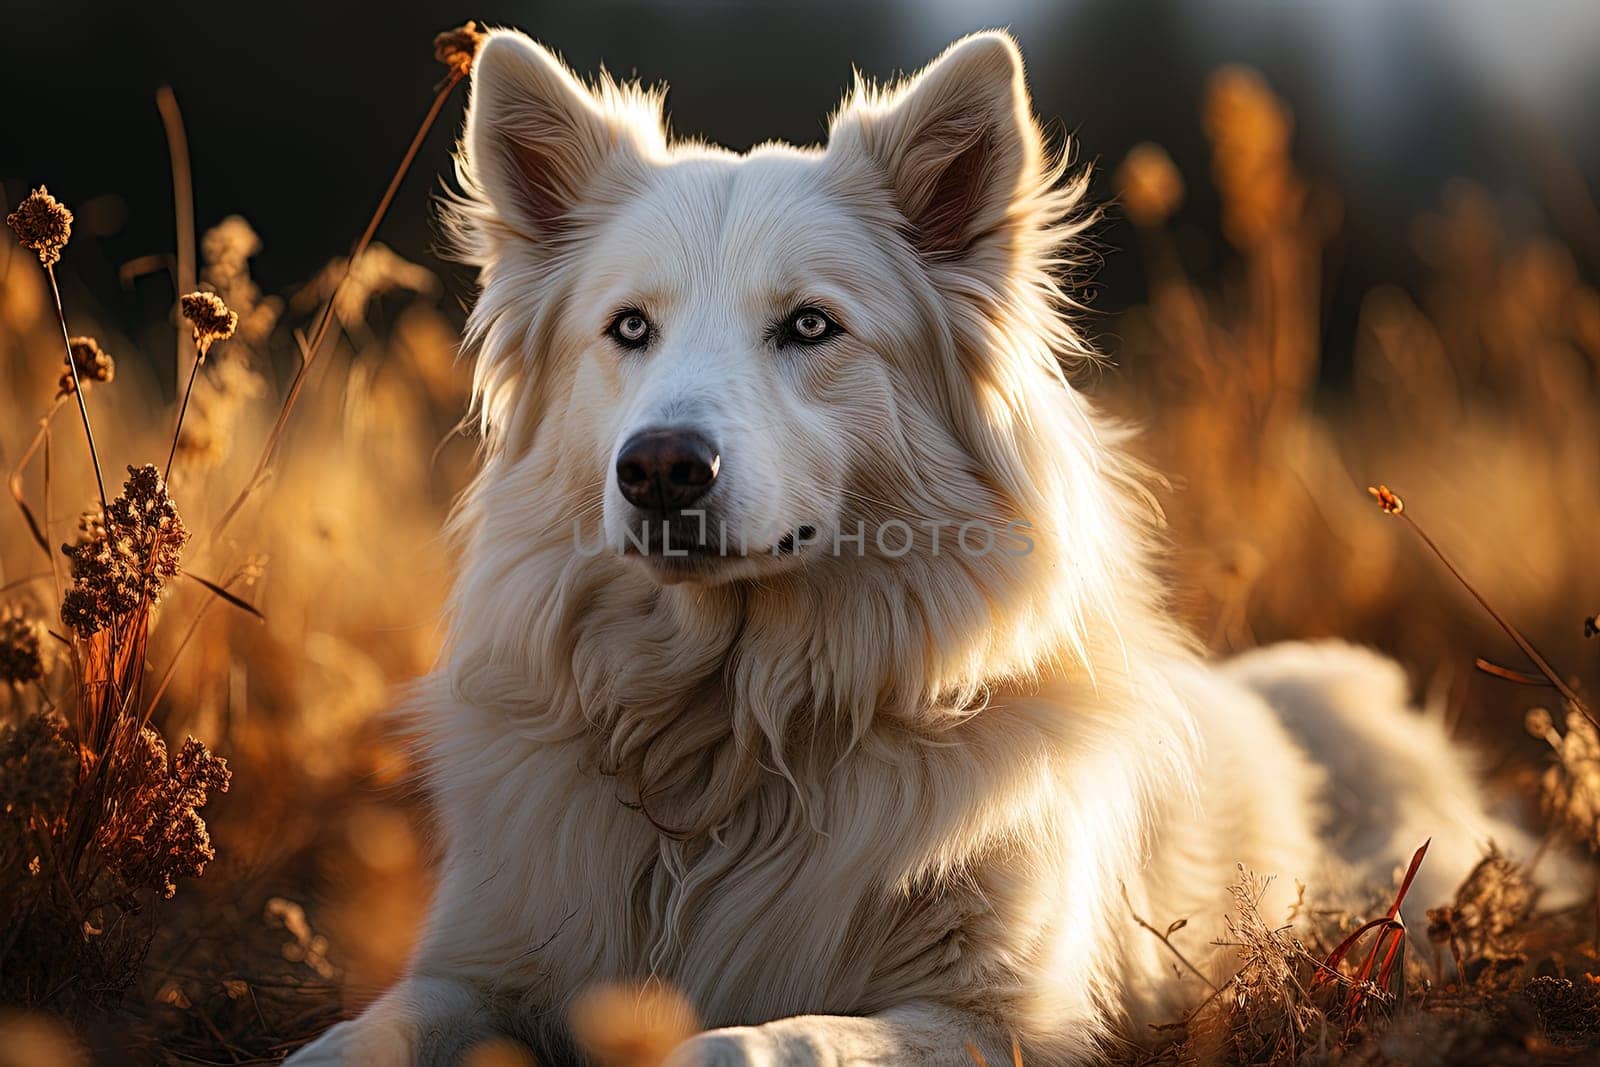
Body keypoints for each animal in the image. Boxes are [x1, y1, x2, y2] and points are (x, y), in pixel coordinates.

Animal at [291, 29, 1561, 1062]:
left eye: (810, 325)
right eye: (628, 329)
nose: (657, 469)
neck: (731, 745)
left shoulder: (1000, 1017)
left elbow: (771, 1038)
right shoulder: (479, 961)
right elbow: (370, 1029)